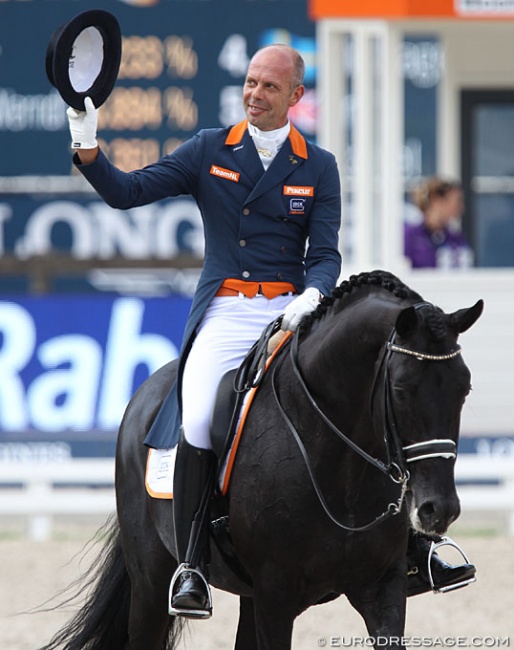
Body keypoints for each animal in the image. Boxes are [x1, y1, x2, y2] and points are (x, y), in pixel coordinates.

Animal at [39, 270, 480, 648]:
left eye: (464, 388)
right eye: (402, 389)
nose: (439, 510)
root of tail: (145, 394)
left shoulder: (382, 588)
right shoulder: (275, 595)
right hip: (151, 583)